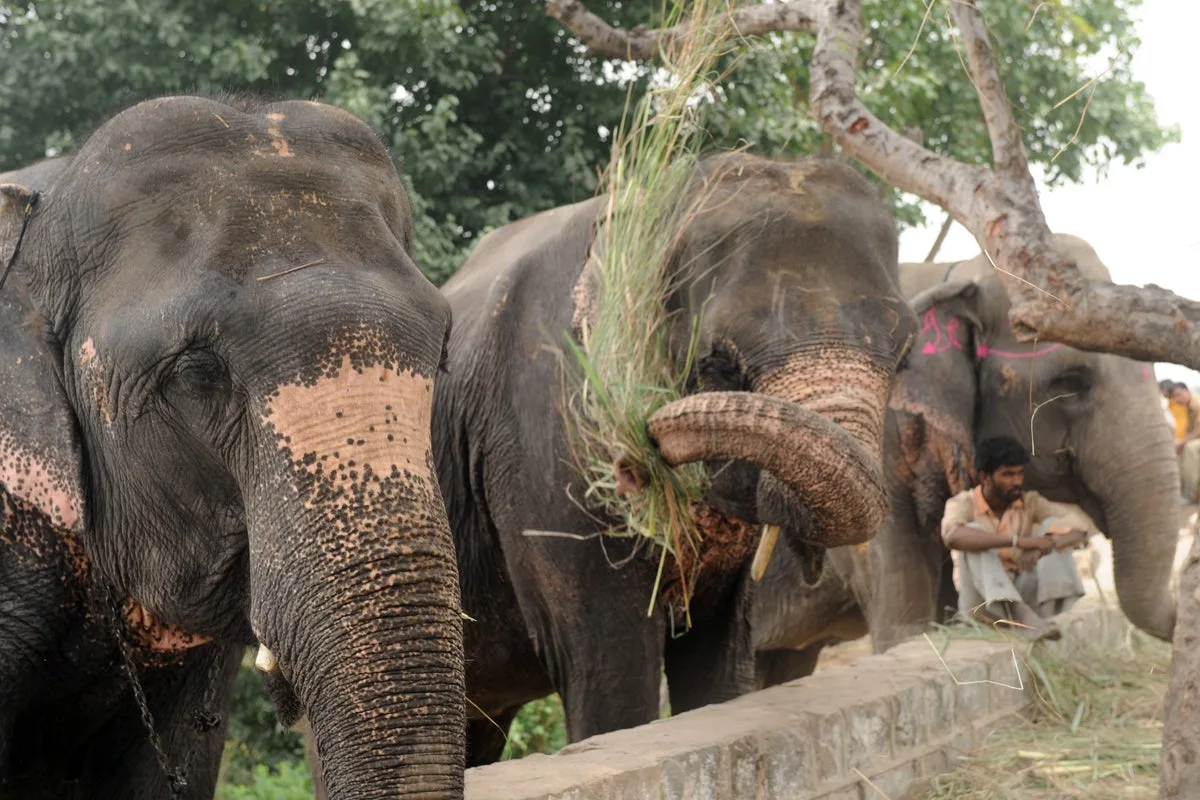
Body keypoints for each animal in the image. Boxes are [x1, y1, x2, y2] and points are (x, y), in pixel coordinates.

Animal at [431, 152, 917, 765]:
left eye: (906, 356)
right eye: (718, 363)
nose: (645, 445)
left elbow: (717, 664)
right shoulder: (545, 440)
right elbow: (612, 674)